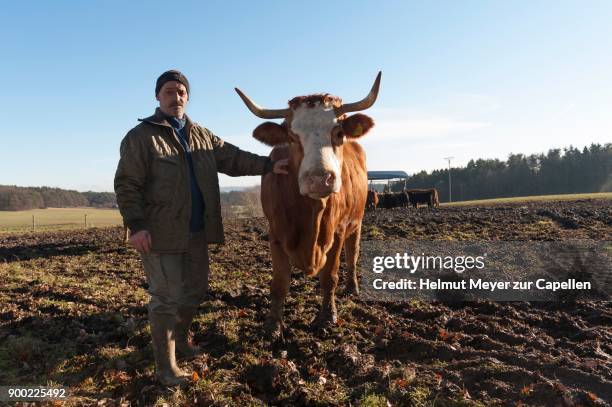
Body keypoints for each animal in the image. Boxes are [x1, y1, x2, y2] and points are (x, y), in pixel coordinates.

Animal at [235, 72, 382, 338]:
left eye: (338, 133)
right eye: (292, 137)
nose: (320, 178)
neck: (309, 213)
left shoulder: (337, 231)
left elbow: (329, 277)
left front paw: (326, 317)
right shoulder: (275, 233)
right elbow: (279, 282)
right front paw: (272, 326)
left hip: (357, 223)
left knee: (352, 255)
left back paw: (352, 287)